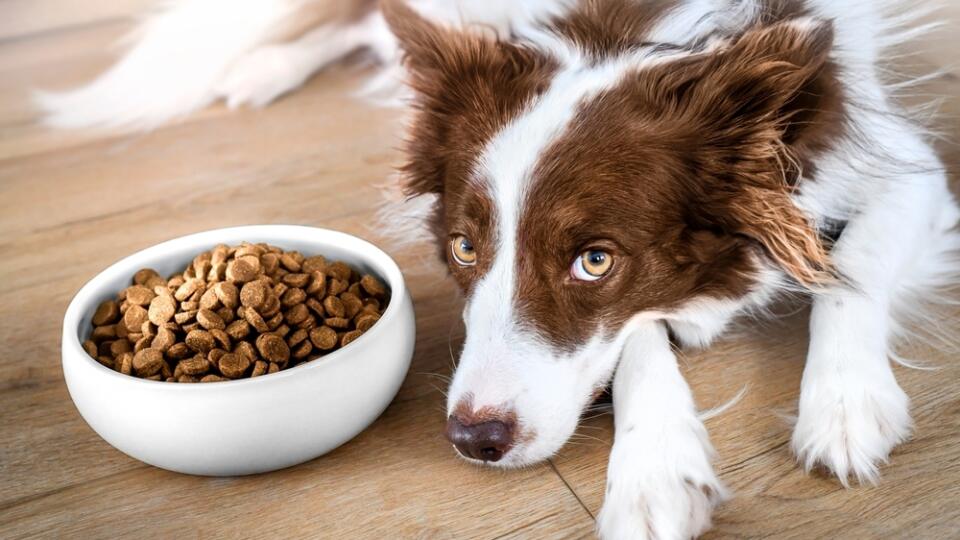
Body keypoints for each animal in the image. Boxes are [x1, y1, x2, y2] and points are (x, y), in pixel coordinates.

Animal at [41, 0, 960, 536]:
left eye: (595, 260)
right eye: (463, 248)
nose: (474, 442)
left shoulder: (904, 166)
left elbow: (851, 274)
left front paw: (845, 407)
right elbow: (637, 339)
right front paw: (654, 471)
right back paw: (263, 68)